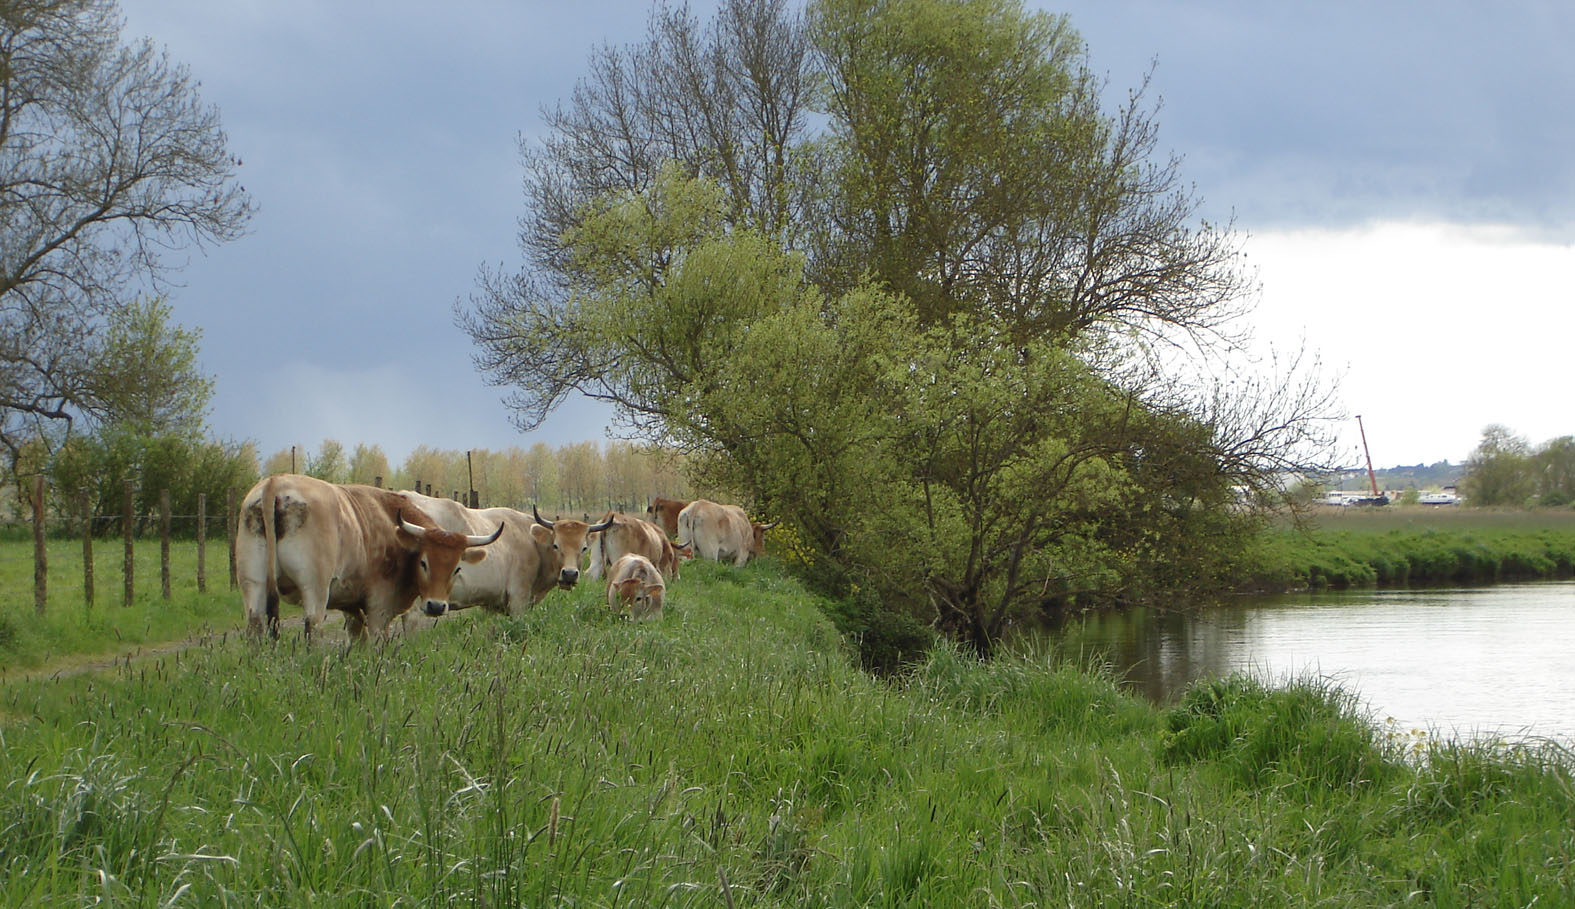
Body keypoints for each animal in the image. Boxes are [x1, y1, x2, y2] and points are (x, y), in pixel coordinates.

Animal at [237, 474, 503, 641]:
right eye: (424, 562)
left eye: (457, 568)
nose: (436, 606)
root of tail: (276, 483)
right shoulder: (379, 606)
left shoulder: (351, 606)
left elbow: (358, 637)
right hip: (314, 588)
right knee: (313, 625)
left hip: (254, 584)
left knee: (255, 624)